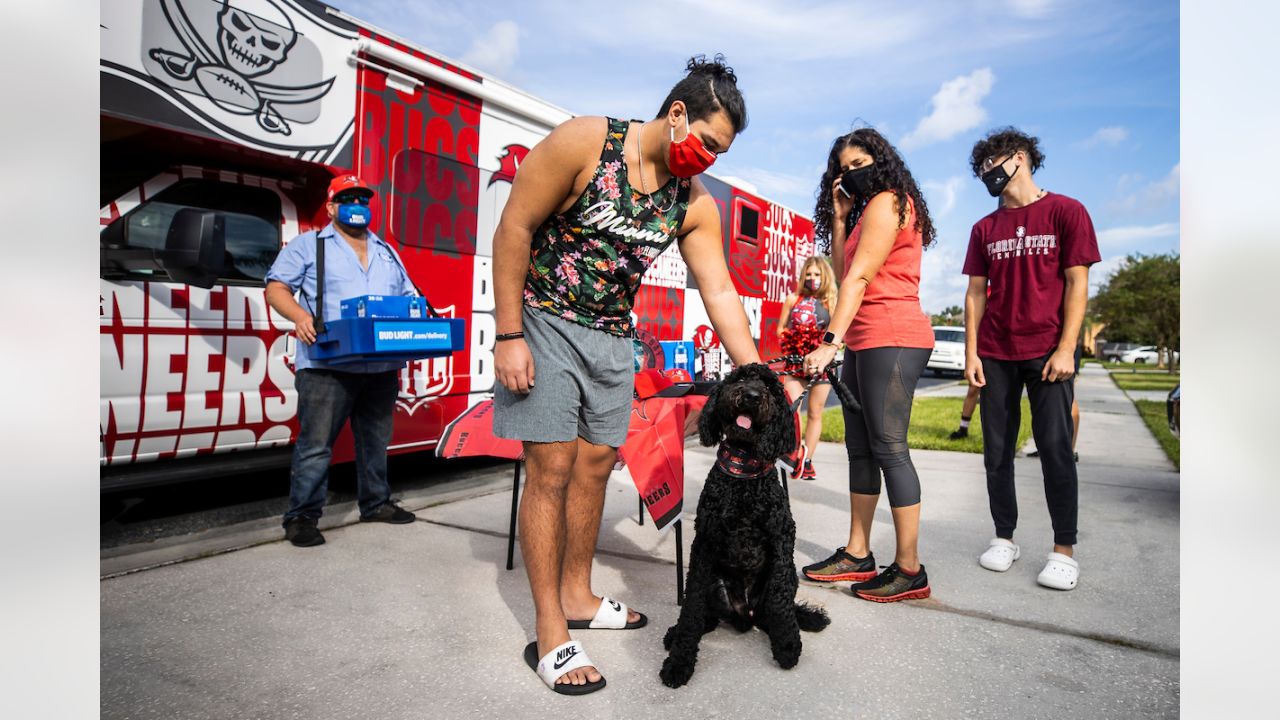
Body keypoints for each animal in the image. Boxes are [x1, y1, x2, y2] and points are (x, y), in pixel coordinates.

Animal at [660, 361, 829, 686]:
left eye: (771, 388)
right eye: (739, 378)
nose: (751, 396)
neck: (743, 476)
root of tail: (744, 615)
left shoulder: (782, 541)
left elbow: (780, 603)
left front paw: (787, 646)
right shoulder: (704, 545)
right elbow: (691, 607)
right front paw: (679, 661)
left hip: (785, 578)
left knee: (772, 610)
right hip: (716, 584)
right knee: (708, 615)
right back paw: (675, 634)